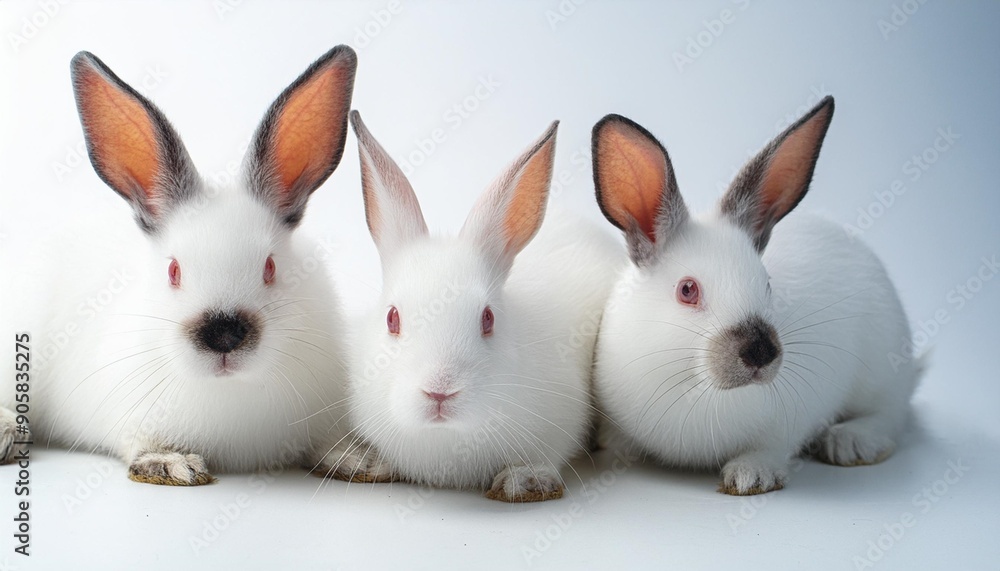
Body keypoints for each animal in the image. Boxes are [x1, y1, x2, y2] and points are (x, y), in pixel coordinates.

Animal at [0, 46, 358, 485]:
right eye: (173, 270)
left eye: (270, 267)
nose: (224, 334)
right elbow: (144, 445)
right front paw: (173, 463)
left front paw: (355, 458)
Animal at [590, 96, 921, 495]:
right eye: (687, 290)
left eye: (767, 284)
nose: (761, 351)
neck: (698, 387)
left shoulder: (794, 419)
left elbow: (772, 447)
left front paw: (751, 476)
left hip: (882, 371)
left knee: (891, 415)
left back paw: (850, 441)